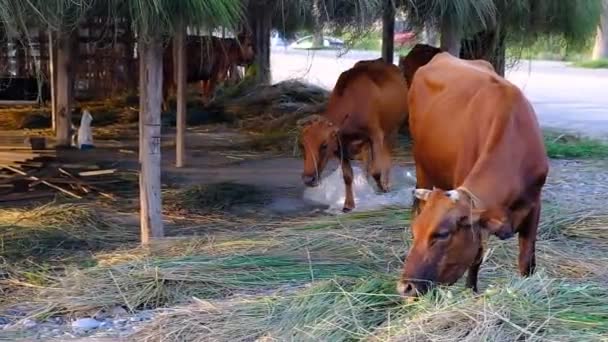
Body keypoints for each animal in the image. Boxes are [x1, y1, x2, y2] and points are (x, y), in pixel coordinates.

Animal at [298, 60, 408, 212]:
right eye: (302, 146)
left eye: (324, 145)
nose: (308, 179)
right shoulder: (341, 145)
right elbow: (347, 176)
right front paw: (348, 204)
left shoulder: (376, 135)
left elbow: (376, 170)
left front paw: (382, 189)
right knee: (367, 162)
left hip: (392, 130)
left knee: (387, 158)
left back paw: (386, 184)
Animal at [396, 44, 548, 298]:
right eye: (415, 232)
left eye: (442, 234)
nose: (405, 287)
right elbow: (476, 258)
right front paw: (471, 291)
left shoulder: (535, 205)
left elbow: (527, 260)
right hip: (422, 166)